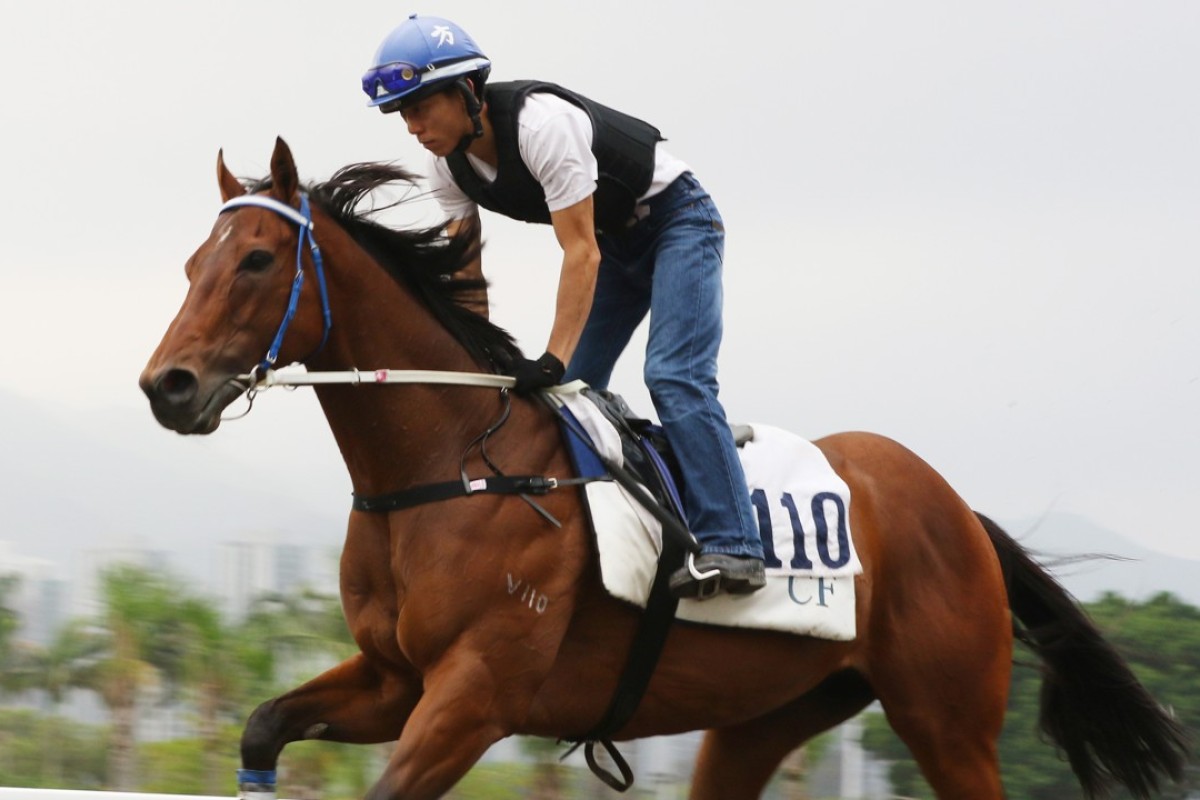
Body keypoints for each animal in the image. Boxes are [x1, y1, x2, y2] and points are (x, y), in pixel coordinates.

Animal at [136, 139, 1185, 800]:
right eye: (190, 264)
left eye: (257, 260)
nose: (166, 386)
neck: (447, 467)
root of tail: (958, 510)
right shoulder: (397, 679)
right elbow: (263, 724)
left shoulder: (477, 693)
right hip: (763, 713)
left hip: (949, 715)